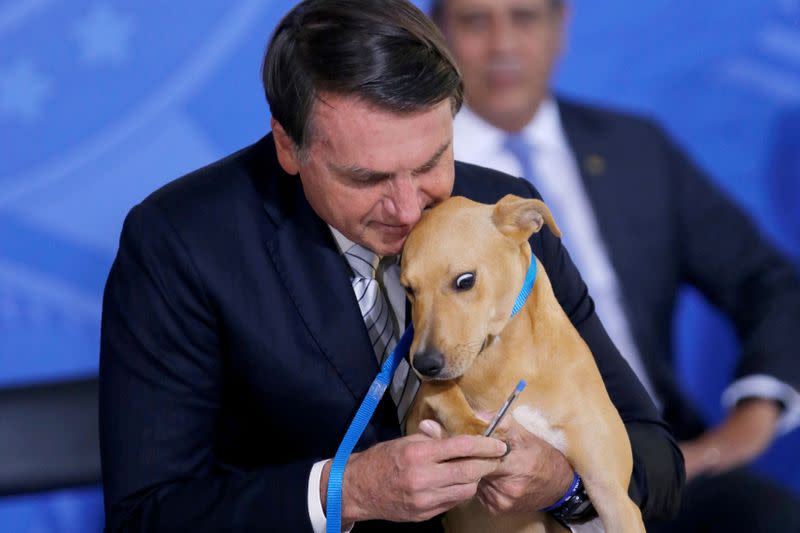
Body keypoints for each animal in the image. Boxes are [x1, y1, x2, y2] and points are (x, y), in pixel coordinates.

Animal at [400, 195, 644, 532]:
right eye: (409, 289)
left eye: (465, 280)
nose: (424, 364)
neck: (504, 360)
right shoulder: (415, 421)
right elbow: (441, 394)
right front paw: (473, 427)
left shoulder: (612, 495)